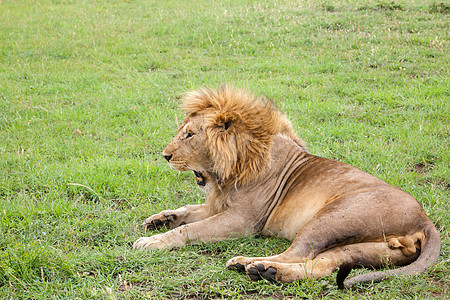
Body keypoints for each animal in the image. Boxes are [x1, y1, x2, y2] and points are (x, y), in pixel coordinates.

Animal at [133, 85, 440, 288]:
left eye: (189, 134)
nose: (165, 155)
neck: (230, 171)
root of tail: (424, 220)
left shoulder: (243, 219)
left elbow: (190, 229)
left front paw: (151, 242)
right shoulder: (219, 204)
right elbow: (187, 211)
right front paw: (160, 219)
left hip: (331, 218)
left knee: (297, 253)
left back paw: (250, 264)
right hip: (367, 249)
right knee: (320, 265)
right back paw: (268, 271)